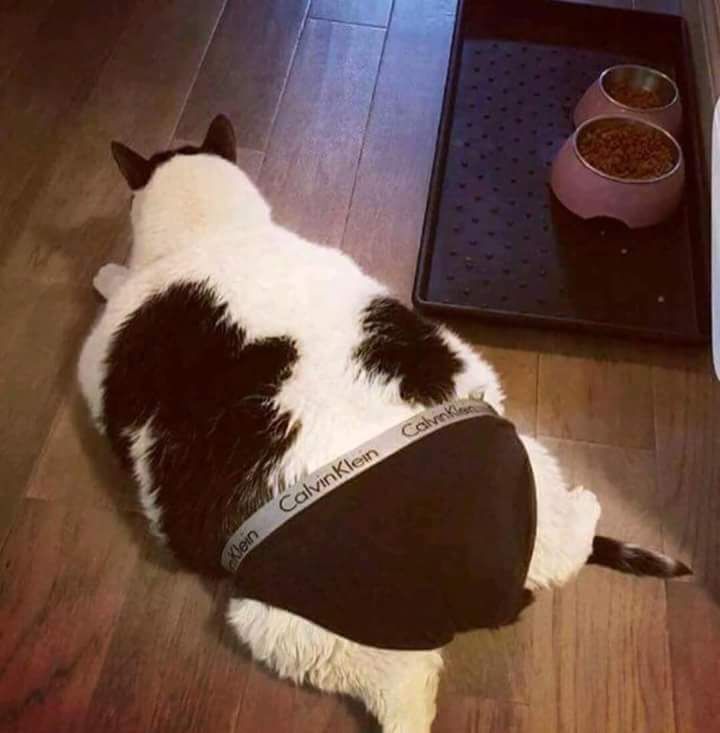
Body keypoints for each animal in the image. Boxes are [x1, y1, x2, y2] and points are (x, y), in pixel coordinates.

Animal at [76, 114, 688, 732]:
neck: (217, 234)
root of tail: (484, 592)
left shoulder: (95, 359)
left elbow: (112, 291)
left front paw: (107, 273)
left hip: (290, 626)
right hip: (515, 452)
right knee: (560, 557)